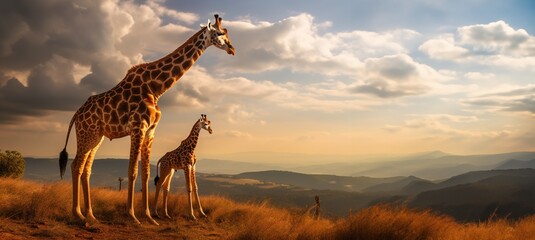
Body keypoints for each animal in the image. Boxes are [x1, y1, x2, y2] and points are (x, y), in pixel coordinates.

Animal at [58, 15, 234, 225]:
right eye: (219, 33)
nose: (232, 49)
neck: (156, 89)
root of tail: (77, 114)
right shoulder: (138, 127)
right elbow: (132, 171)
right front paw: (133, 215)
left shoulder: (150, 131)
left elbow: (147, 173)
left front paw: (150, 216)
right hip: (87, 133)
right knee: (76, 165)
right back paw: (77, 214)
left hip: (96, 137)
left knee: (86, 168)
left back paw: (91, 215)